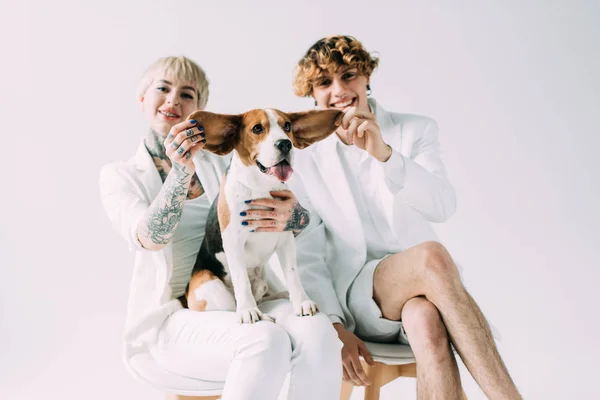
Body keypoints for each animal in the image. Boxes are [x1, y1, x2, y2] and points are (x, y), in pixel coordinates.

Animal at [183, 108, 342, 324]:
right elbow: (241, 279)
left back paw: (281, 296)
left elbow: (293, 274)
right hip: (215, 291)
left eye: (287, 126)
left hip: (261, 283)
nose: (285, 144)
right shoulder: (233, 242)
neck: (261, 187)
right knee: (232, 304)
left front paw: (301, 301)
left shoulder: (286, 239)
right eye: (257, 128)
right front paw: (248, 311)